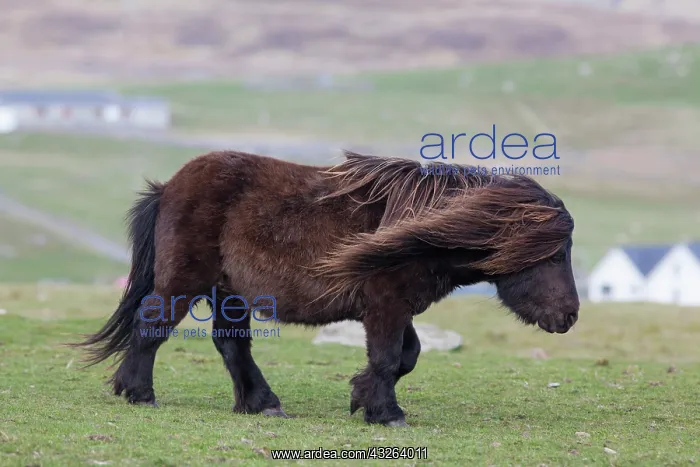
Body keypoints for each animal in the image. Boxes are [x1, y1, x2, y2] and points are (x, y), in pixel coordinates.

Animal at [73, 150, 579, 427]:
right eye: (556, 255)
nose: (569, 316)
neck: (422, 228)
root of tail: (170, 186)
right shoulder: (386, 305)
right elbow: (389, 357)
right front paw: (386, 413)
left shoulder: (394, 307)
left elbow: (407, 356)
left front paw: (361, 397)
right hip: (185, 283)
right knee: (152, 325)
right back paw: (139, 393)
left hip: (226, 292)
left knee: (232, 344)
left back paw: (262, 404)